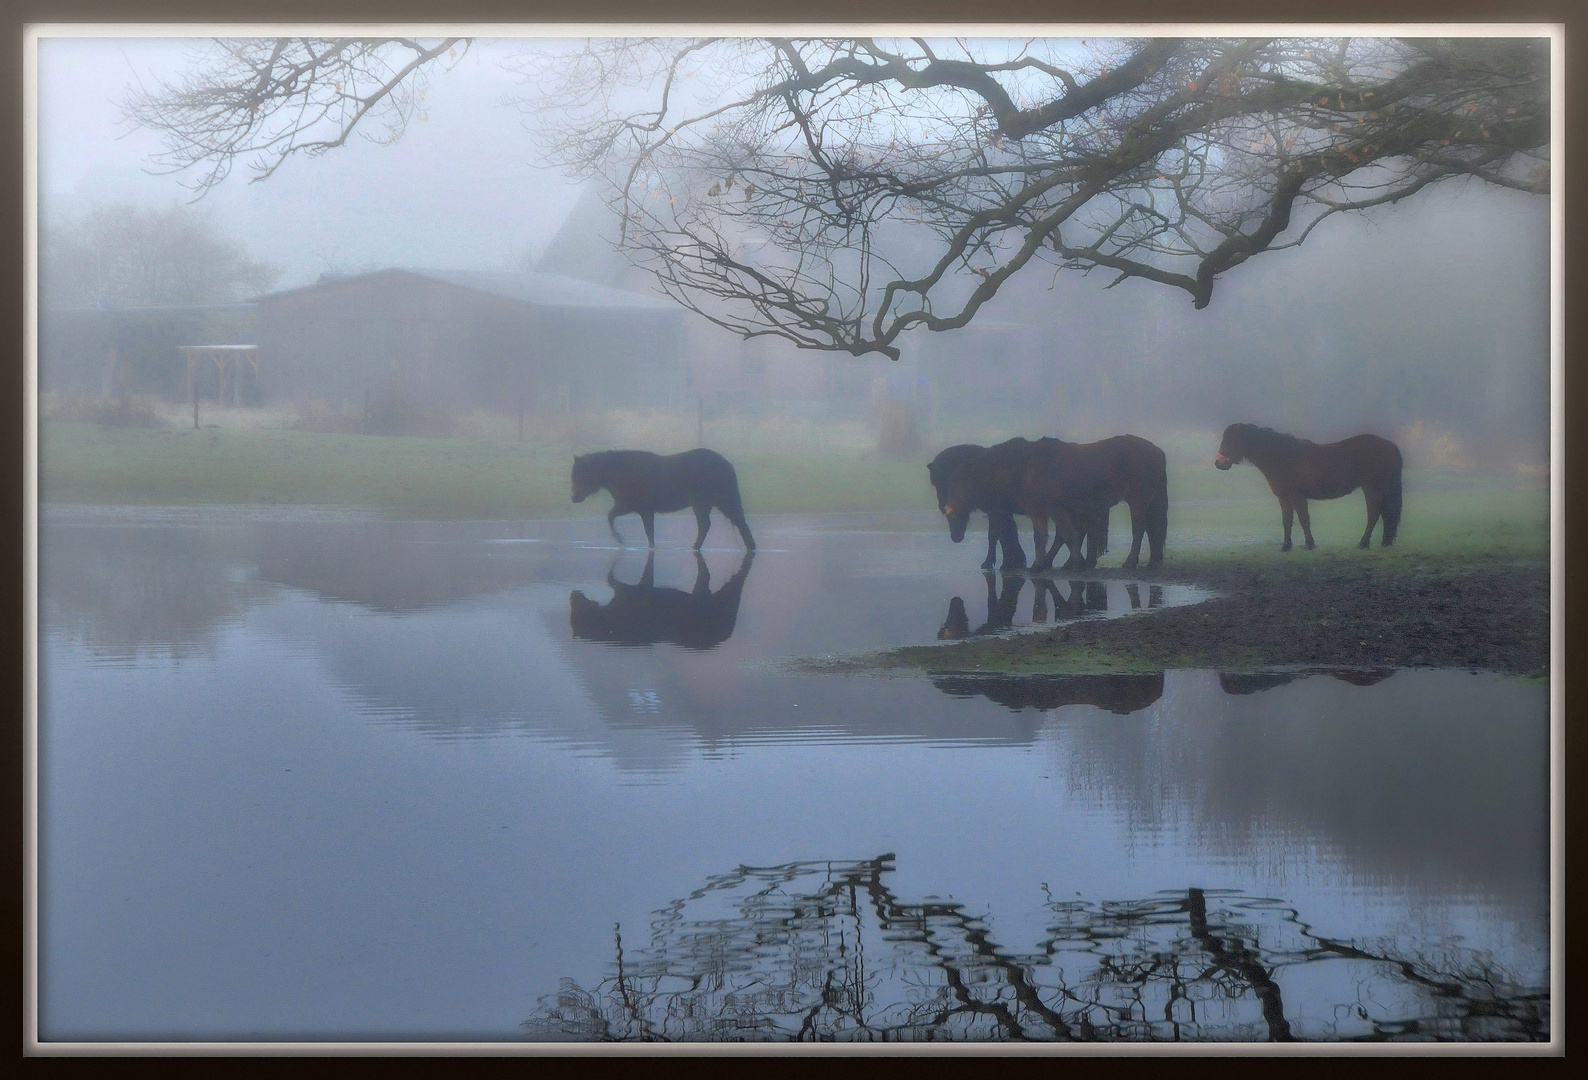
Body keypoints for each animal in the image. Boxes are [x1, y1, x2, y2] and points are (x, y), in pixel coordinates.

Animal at [571, 447, 755, 552]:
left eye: (579, 474)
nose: (573, 497)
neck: (616, 473)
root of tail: (728, 466)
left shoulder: (630, 504)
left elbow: (610, 516)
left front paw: (620, 539)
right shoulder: (645, 510)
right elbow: (650, 533)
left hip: (705, 501)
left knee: (707, 524)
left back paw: (695, 547)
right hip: (718, 501)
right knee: (739, 521)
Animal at [1016, 435, 1168, 578]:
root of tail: (1157, 451)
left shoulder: (1055, 510)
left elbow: (1066, 535)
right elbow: (1053, 536)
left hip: (1138, 501)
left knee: (1139, 529)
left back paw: (1130, 562)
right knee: (1152, 528)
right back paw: (1153, 562)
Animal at [1213, 422, 1403, 552]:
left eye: (1231, 441)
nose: (1218, 464)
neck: (1282, 456)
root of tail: (1391, 445)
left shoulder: (1297, 496)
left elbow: (1304, 520)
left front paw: (1309, 544)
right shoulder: (1284, 498)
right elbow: (1287, 521)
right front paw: (1286, 546)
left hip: (1372, 489)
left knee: (1373, 515)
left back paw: (1363, 543)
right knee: (1384, 514)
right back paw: (1384, 542)